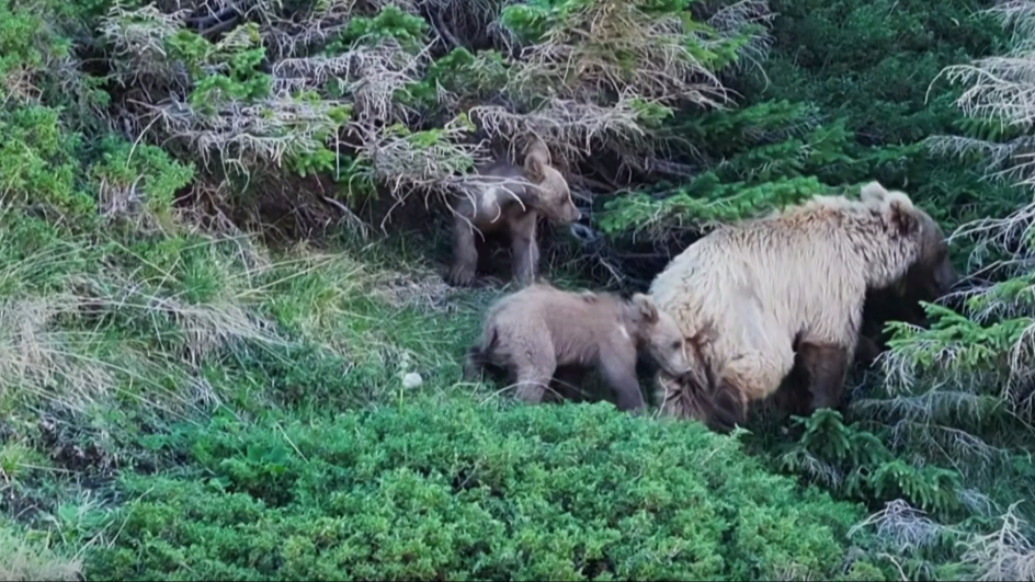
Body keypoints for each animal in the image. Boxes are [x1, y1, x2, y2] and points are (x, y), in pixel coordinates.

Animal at [447, 137, 581, 288]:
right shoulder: (476, 205)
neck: (510, 202)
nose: (577, 215)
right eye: (563, 197)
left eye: (567, 195)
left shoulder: (522, 216)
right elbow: (464, 232)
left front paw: (525, 280)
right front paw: (461, 275)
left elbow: (525, 248)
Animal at [462, 282, 693, 412]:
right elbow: (622, 375)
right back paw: (526, 404)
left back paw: (471, 375)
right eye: (676, 343)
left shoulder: (578, 351)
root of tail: (497, 315)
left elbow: (571, 376)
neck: (632, 327)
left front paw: (572, 397)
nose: (687, 369)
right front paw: (641, 410)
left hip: (498, 341)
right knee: (539, 368)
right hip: (530, 331)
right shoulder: (612, 342)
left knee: (481, 353)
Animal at [647, 181, 956, 432]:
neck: (861, 250)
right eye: (943, 251)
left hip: (679, 348)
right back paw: (728, 408)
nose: (951, 284)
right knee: (768, 359)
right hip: (738, 315)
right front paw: (823, 412)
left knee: (679, 393)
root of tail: (679, 299)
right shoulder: (831, 281)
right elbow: (828, 345)